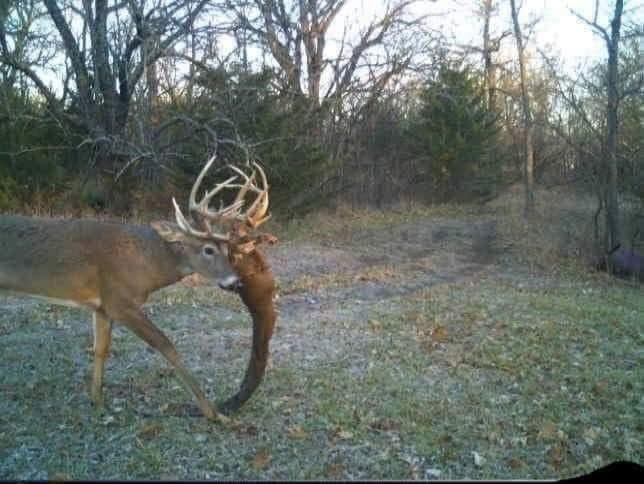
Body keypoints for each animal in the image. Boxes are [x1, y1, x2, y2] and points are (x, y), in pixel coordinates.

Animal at [0, 156, 278, 422]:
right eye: (208, 249)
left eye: (228, 250)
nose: (235, 282)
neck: (146, 263)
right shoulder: (120, 301)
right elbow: (166, 345)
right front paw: (214, 414)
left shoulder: (102, 305)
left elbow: (101, 349)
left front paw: (97, 401)